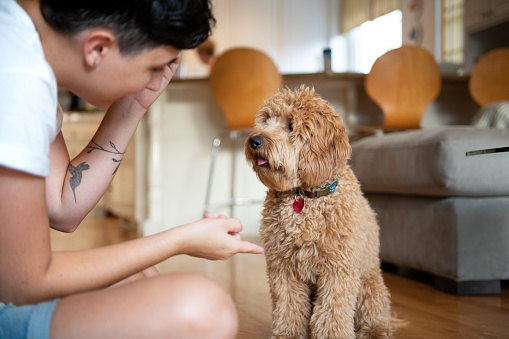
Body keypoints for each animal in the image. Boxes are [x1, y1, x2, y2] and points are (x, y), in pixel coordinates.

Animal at [244, 86, 390, 338]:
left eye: (290, 125)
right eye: (266, 120)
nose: (254, 140)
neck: (304, 195)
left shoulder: (338, 269)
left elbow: (332, 312)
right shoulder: (283, 267)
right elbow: (289, 306)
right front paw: (287, 334)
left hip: (369, 285)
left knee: (375, 315)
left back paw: (375, 331)